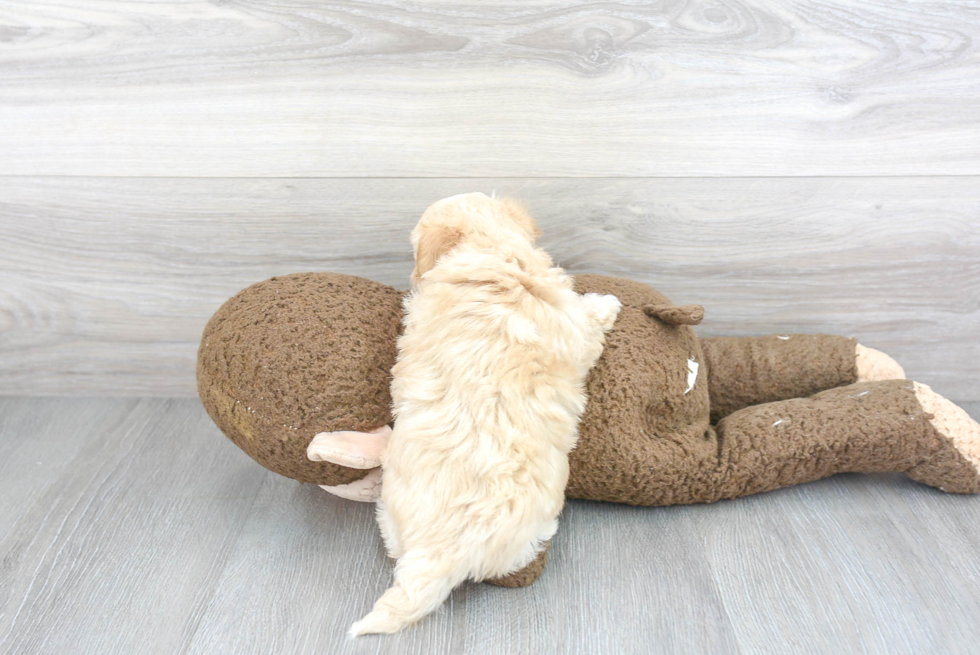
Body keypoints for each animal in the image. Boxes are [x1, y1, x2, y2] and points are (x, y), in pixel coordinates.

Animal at [350, 193, 620, 636]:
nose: (411, 276)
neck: (490, 248)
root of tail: (440, 554)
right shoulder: (573, 328)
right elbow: (589, 319)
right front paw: (607, 303)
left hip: (391, 516)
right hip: (529, 533)